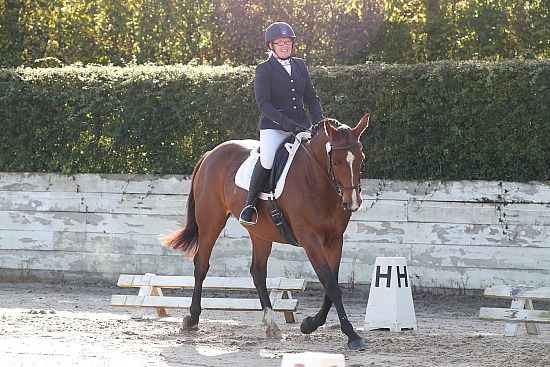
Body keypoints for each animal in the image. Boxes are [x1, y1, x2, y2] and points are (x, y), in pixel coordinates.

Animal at [162, 114, 374, 350]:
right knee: (201, 265)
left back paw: (272, 325)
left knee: (258, 272)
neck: (317, 180)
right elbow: (331, 285)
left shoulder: (334, 240)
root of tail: (211, 153)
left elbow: (332, 287)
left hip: (260, 233)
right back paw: (192, 319)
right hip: (211, 222)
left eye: (361, 159)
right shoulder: (310, 239)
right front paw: (352, 335)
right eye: (335, 162)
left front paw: (309, 324)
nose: (352, 203)